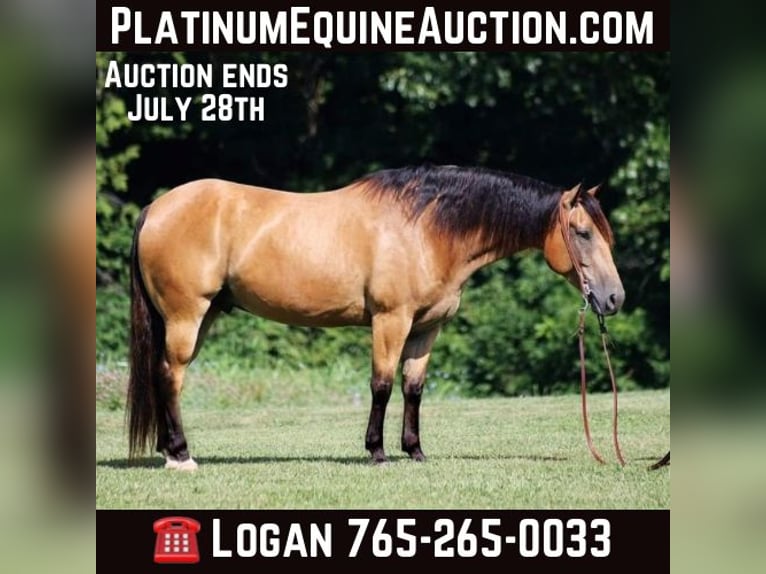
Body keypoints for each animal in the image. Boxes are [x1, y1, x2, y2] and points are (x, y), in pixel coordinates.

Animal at [126, 165, 624, 470]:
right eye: (582, 233)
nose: (614, 298)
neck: (427, 229)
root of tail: (156, 208)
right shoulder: (391, 321)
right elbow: (382, 385)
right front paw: (377, 451)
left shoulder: (426, 329)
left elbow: (413, 388)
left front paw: (415, 451)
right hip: (187, 316)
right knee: (170, 376)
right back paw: (181, 454)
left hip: (201, 316)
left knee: (162, 375)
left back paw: (168, 451)